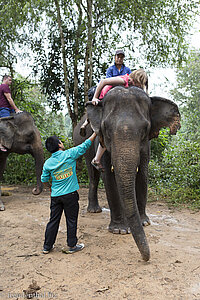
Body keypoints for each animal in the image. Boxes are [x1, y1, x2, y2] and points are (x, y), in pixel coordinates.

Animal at [74, 86, 181, 260]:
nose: (146, 258)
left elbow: (142, 175)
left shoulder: (146, 146)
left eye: (145, 129)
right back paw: (94, 210)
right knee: (93, 175)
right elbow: (109, 178)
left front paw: (144, 222)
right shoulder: (102, 142)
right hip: (82, 143)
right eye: (106, 129)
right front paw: (120, 230)